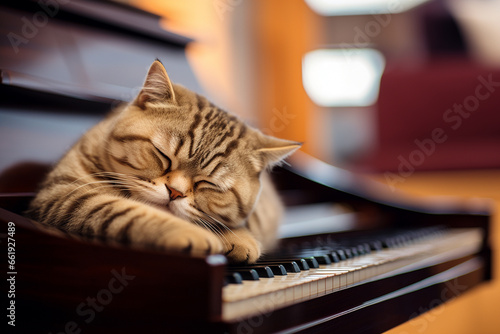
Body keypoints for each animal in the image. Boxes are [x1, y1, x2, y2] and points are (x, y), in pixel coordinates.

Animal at [26, 60, 300, 264]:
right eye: (163, 155)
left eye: (208, 183)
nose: (174, 192)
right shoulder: (65, 193)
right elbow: (123, 209)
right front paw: (195, 234)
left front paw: (240, 237)